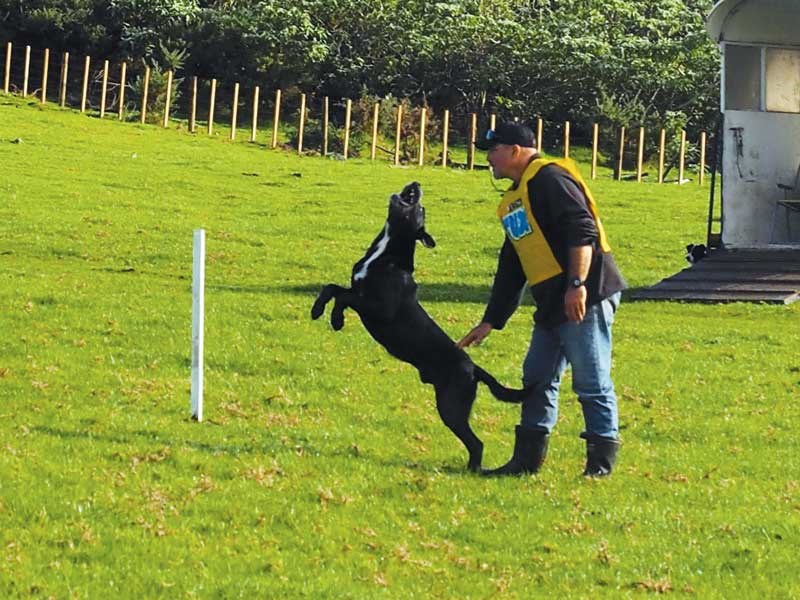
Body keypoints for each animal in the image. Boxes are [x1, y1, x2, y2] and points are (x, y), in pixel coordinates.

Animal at [310, 180, 524, 472]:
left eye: (421, 209)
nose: (416, 184)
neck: (387, 252)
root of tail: (474, 368)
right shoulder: (357, 288)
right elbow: (331, 288)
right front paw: (317, 310)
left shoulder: (379, 308)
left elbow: (343, 297)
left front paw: (336, 319)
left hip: (451, 404)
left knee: (475, 443)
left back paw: (473, 470)